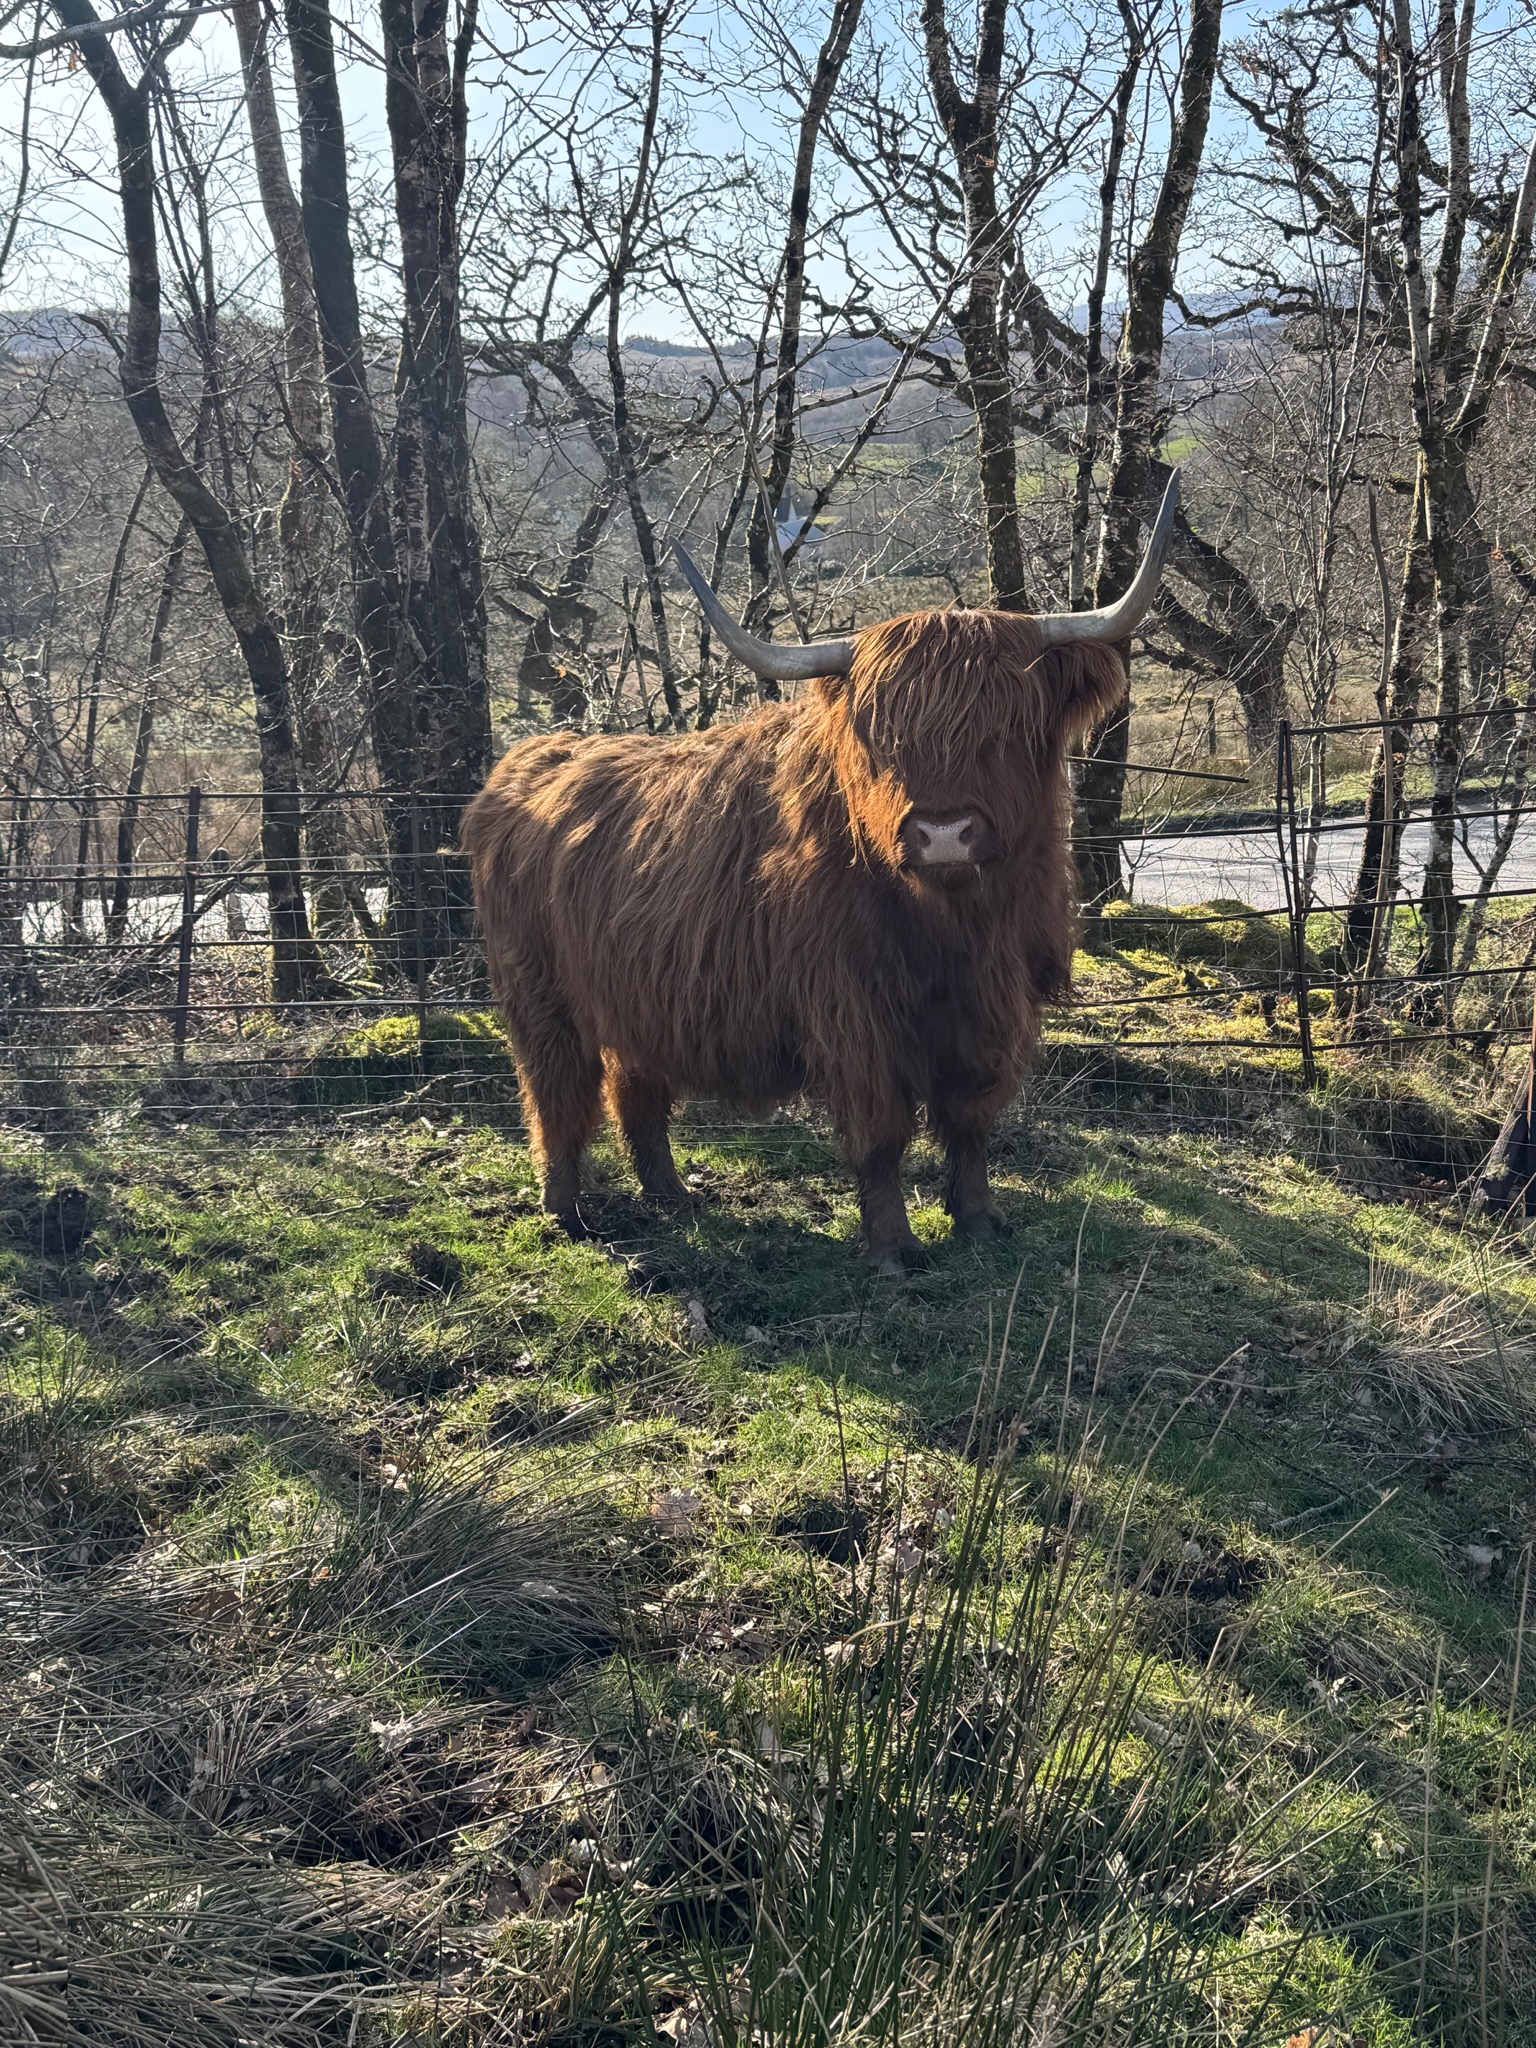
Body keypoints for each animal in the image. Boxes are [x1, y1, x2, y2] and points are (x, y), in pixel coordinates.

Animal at [463, 474, 1178, 1273]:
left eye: (1007, 731)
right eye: (882, 738)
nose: (944, 834)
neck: (957, 929)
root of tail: (528, 762)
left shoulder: (997, 1006)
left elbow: (971, 1121)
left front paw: (978, 1220)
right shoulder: (852, 1011)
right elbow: (882, 1133)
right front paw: (894, 1248)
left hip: (634, 992)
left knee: (635, 1089)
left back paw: (671, 1195)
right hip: (540, 997)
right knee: (556, 1096)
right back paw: (567, 1211)